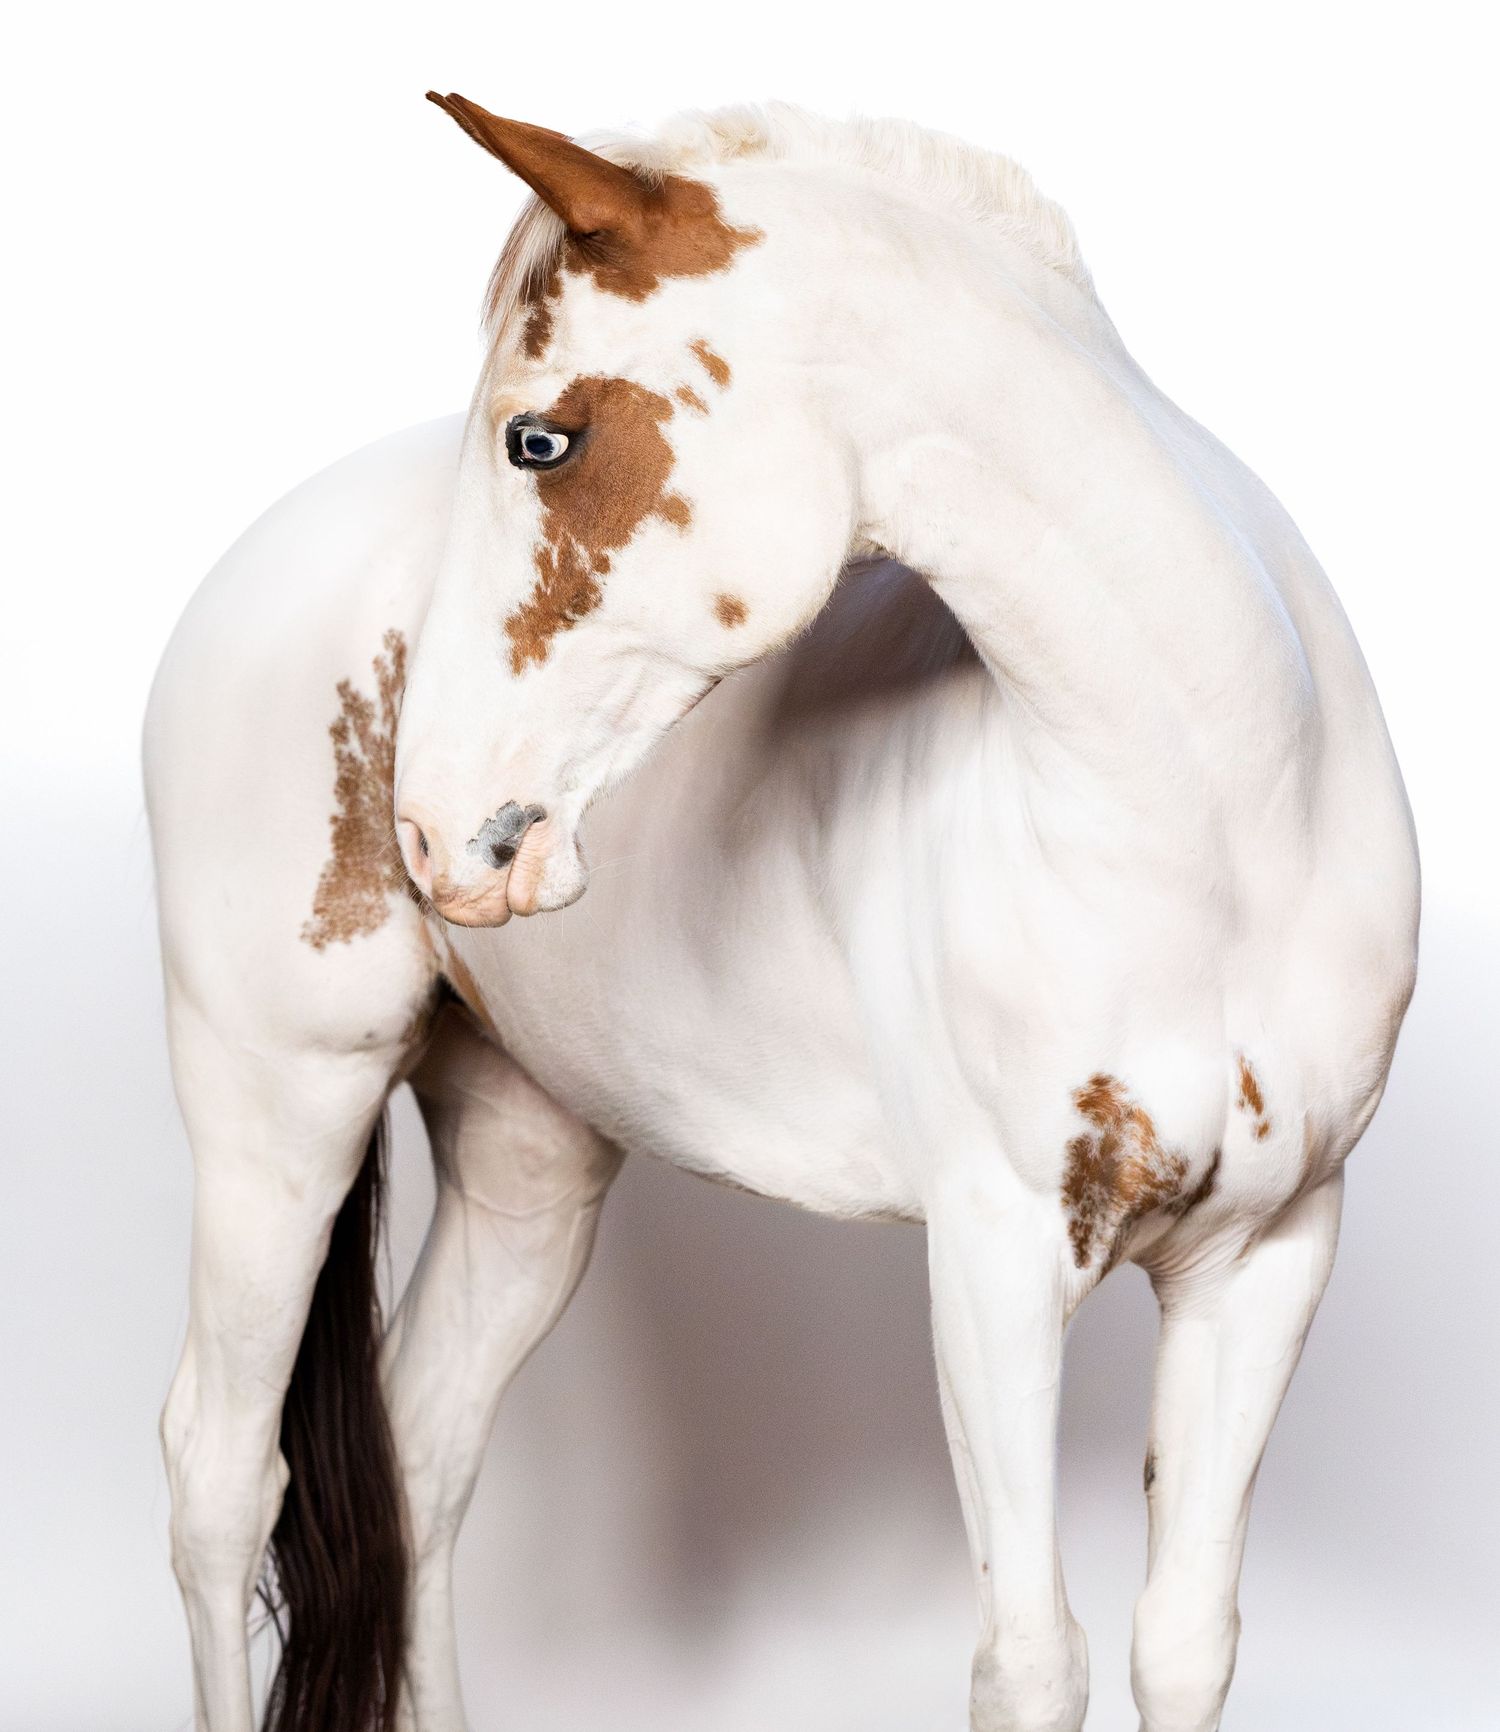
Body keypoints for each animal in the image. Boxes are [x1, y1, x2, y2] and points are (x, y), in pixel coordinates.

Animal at [144, 96, 1418, 1732]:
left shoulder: (1269, 1250)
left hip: (527, 1158)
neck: (1214, 819)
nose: (434, 832)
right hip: (279, 1099)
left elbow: (1184, 1642)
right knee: (223, 1474)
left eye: (540, 438)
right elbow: (1032, 1660)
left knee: (426, 1460)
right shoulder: (998, 1256)